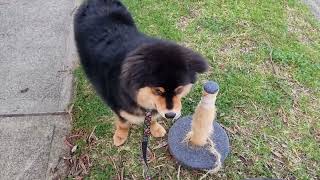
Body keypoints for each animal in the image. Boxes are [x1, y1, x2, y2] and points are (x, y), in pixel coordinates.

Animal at [74, 0, 209, 146]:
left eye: (179, 90)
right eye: (157, 91)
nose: (170, 115)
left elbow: (152, 117)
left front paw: (155, 128)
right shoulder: (117, 107)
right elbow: (123, 122)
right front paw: (120, 135)